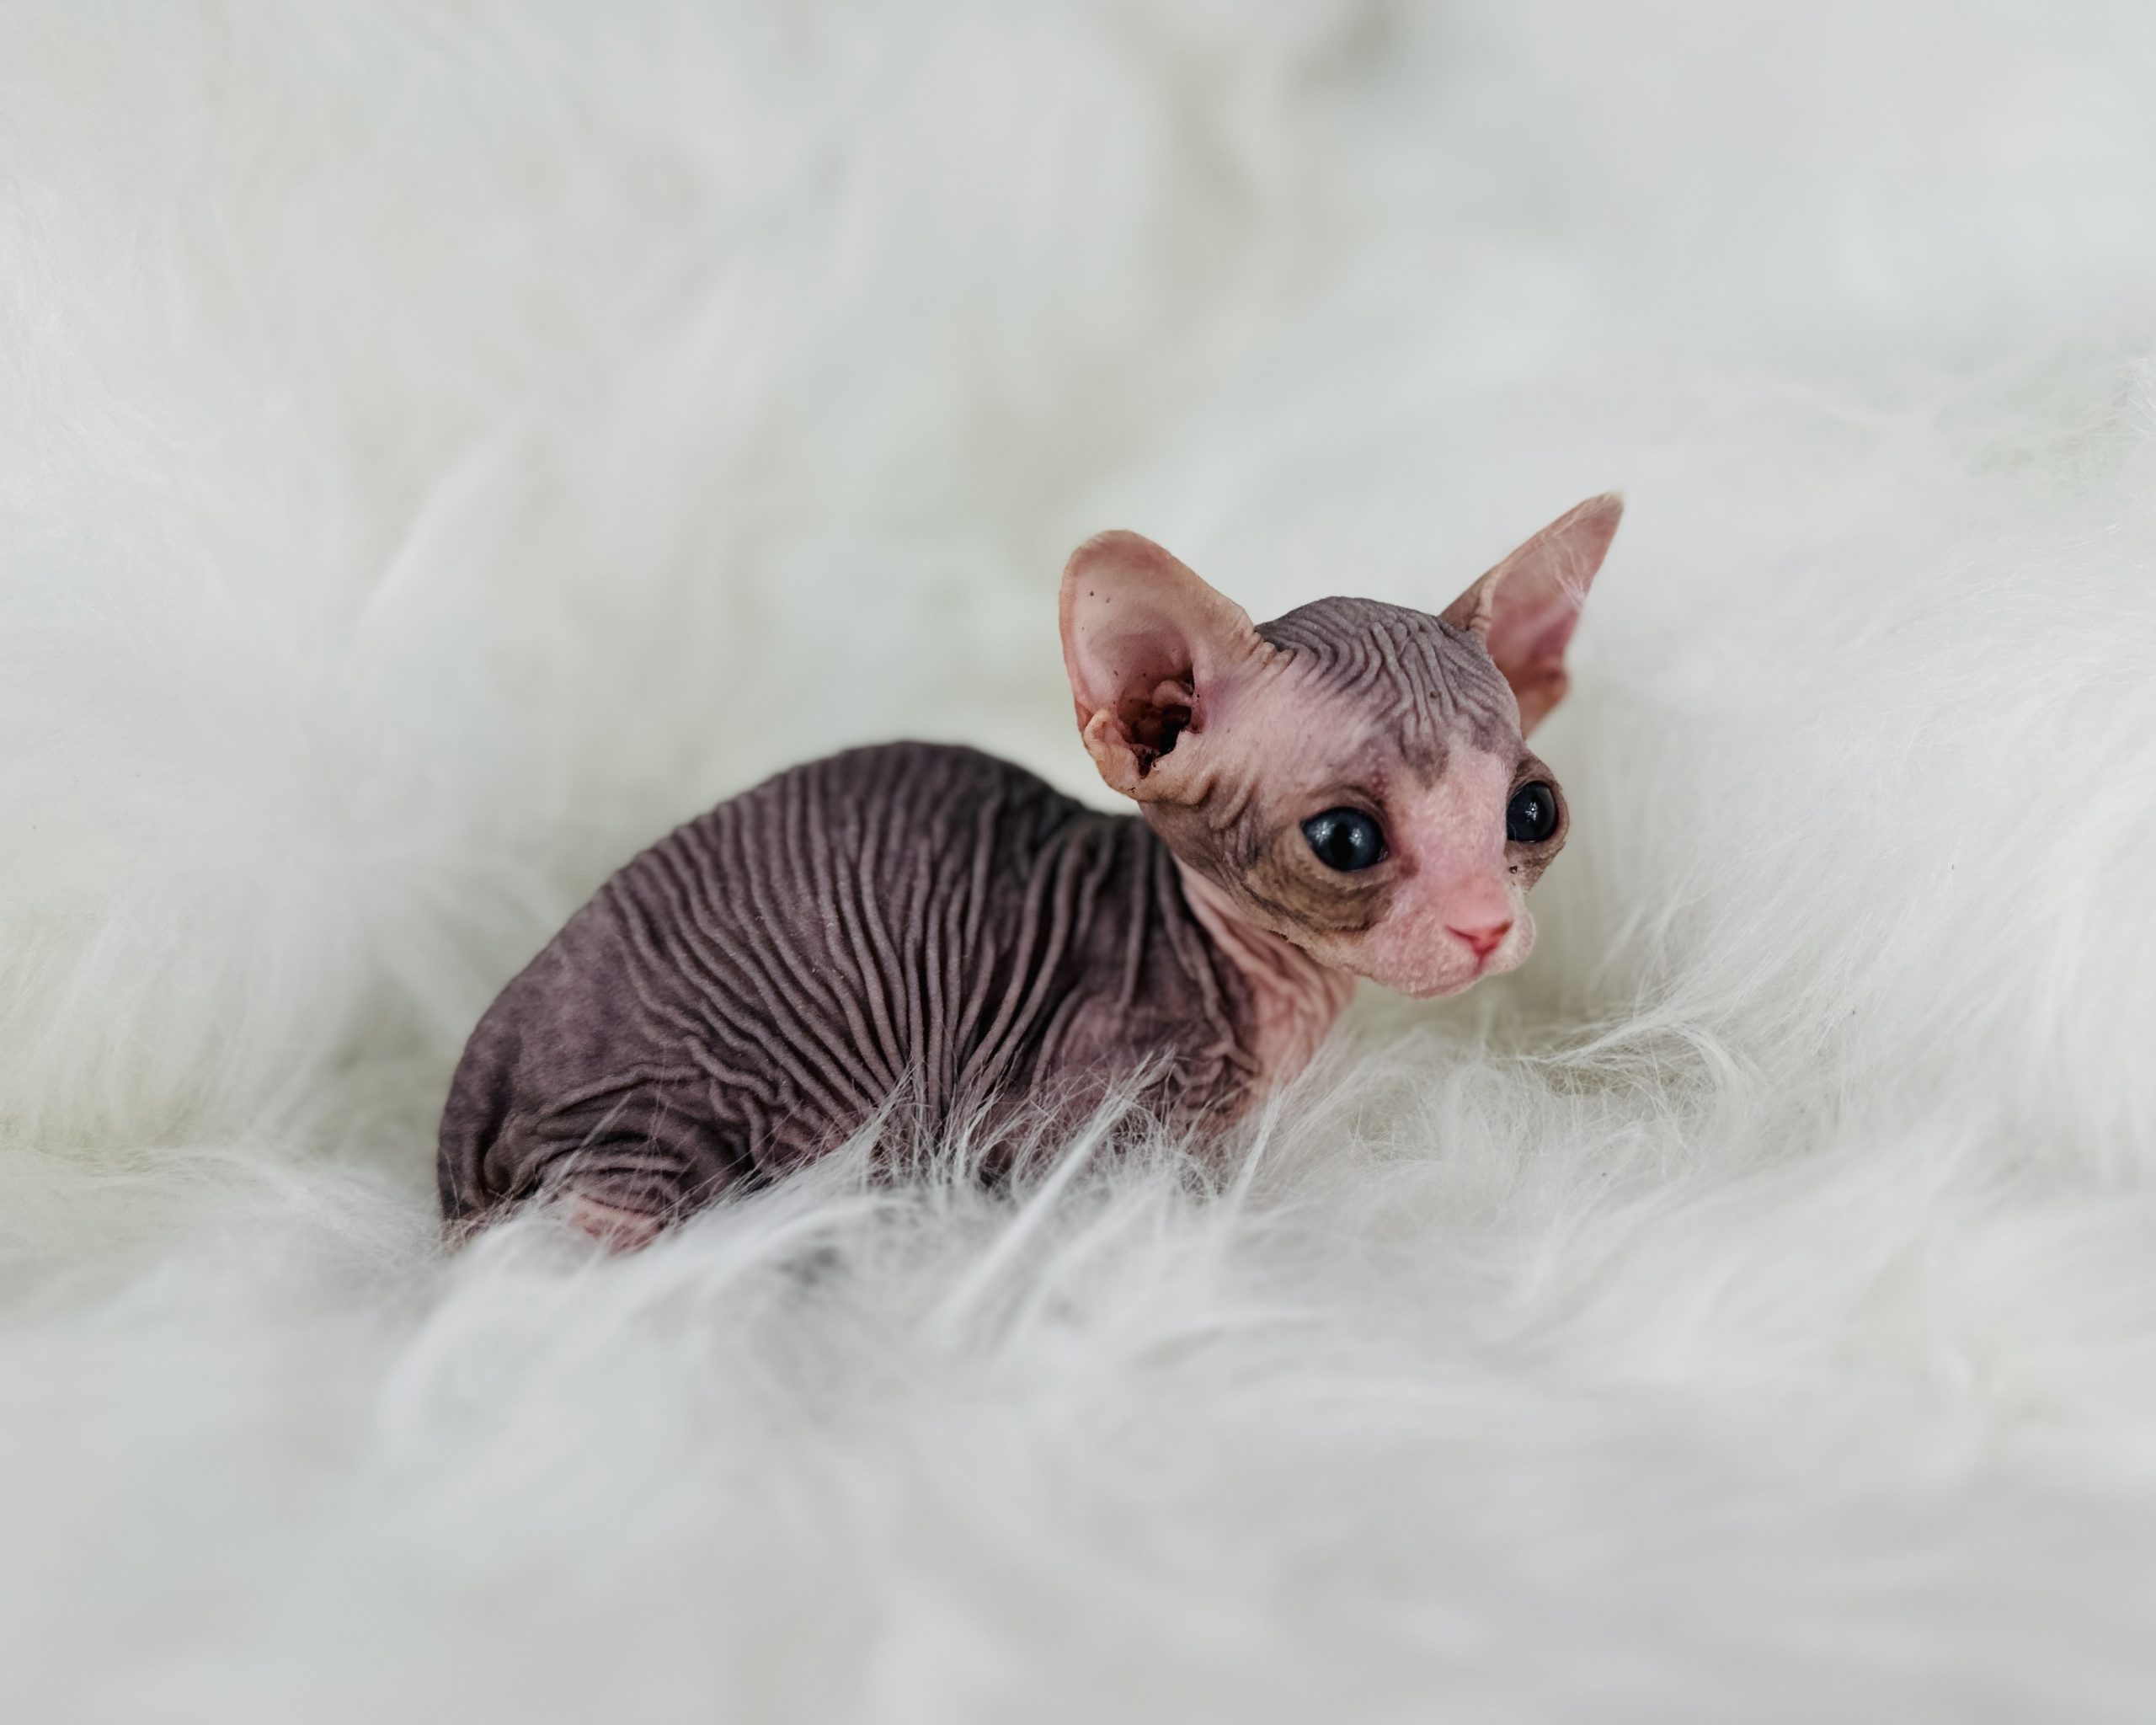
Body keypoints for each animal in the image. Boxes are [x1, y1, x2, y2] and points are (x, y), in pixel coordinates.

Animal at [433, 491, 1621, 1250]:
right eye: (1344, 840)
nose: (1485, 925)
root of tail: (472, 1083)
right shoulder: (1057, 1123)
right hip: (710, 1108)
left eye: (1531, 810)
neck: (1264, 984)